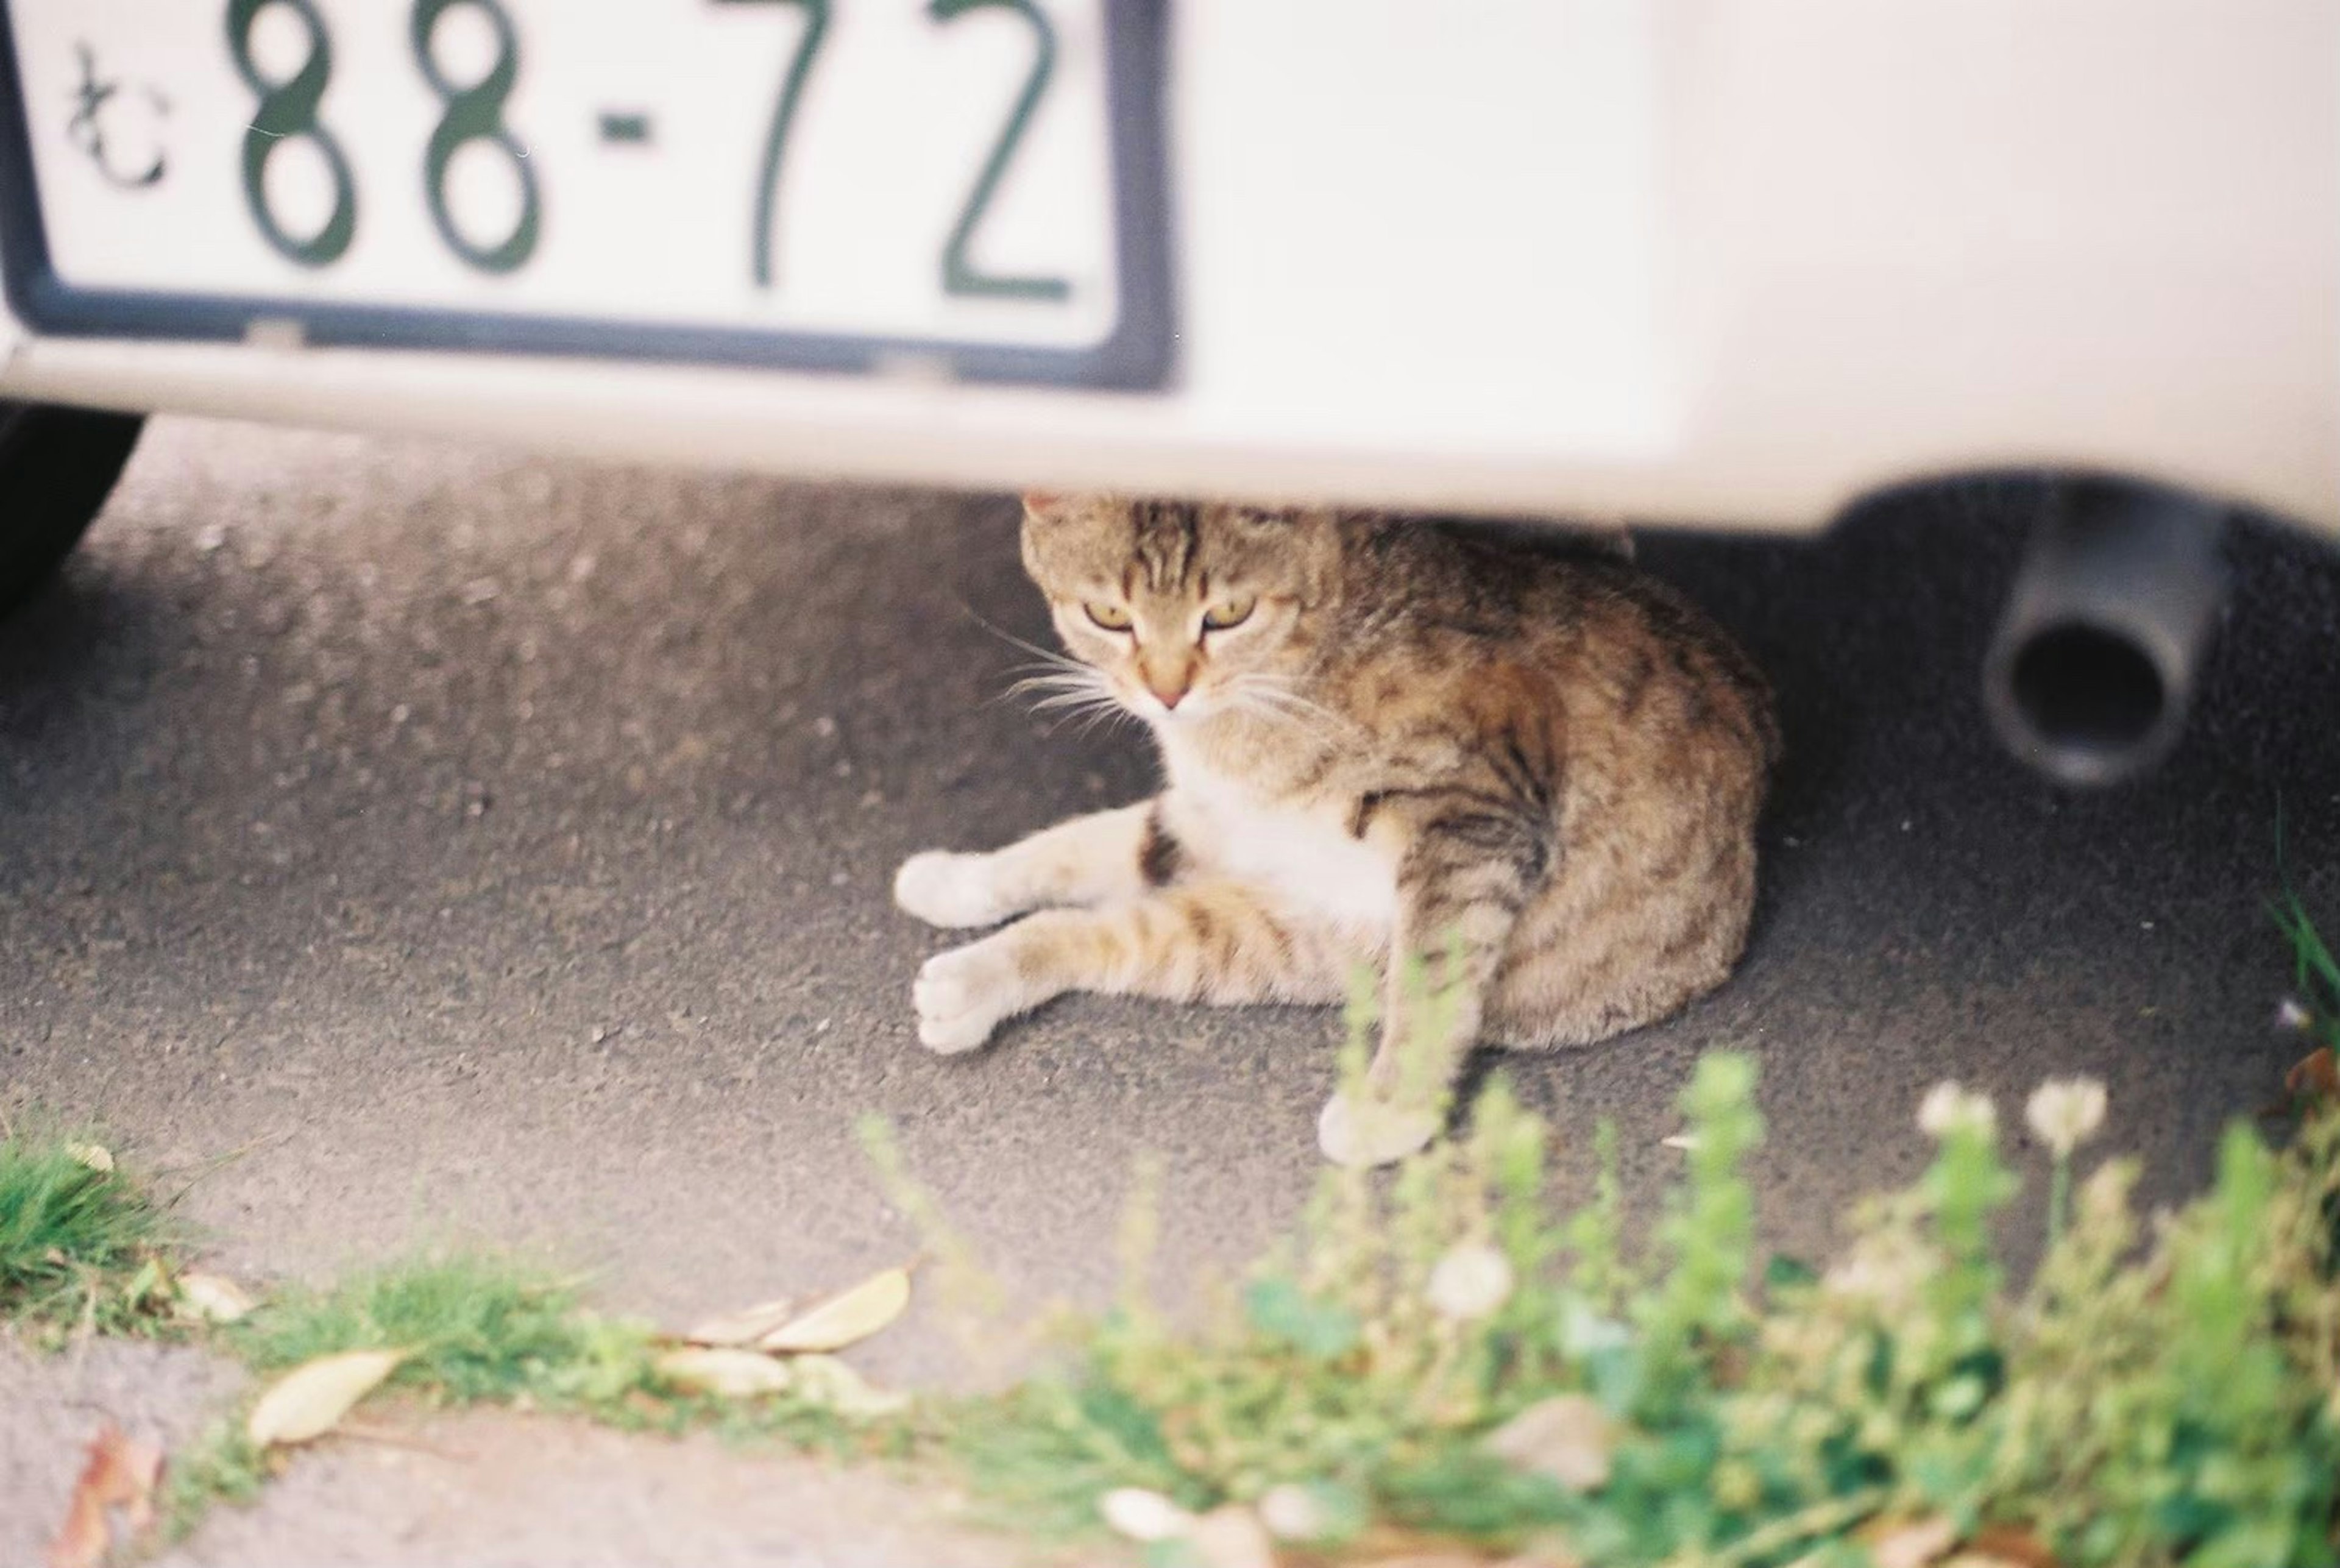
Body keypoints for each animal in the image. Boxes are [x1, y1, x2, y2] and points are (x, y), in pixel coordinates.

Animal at [893, 498, 1769, 1174]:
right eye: (1109, 615)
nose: (1167, 691)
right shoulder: (1210, 826)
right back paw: (972, 979)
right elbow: (1073, 847)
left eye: (1229, 613)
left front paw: (1392, 1108)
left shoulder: (1473, 823)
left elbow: (1433, 982)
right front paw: (957, 879)